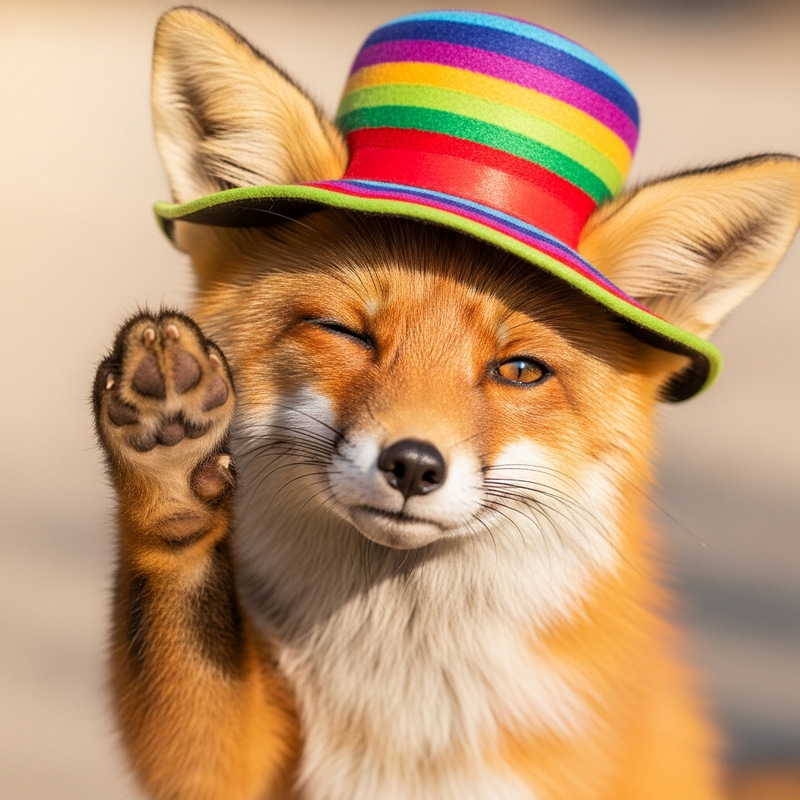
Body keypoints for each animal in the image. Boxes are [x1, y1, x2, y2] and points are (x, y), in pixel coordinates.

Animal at [92, 7, 800, 800]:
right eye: (345, 331)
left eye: (519, 370)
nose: (412, 466)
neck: (401, 724)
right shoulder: (233, 767)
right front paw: (172, 481)